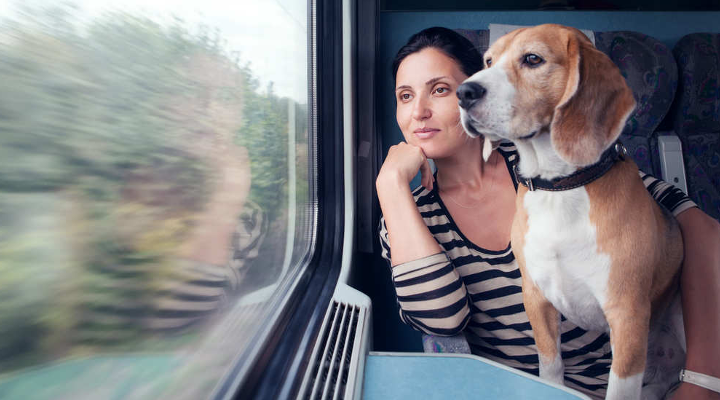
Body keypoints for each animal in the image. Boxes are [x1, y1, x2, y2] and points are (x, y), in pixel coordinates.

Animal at [458, 25, 684, 400]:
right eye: (488, 61)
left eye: (533, 59)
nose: (463, 92)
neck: (560, 187)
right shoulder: (536, 297)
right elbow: (550, 368)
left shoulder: (627, 317)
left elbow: (620, 389)